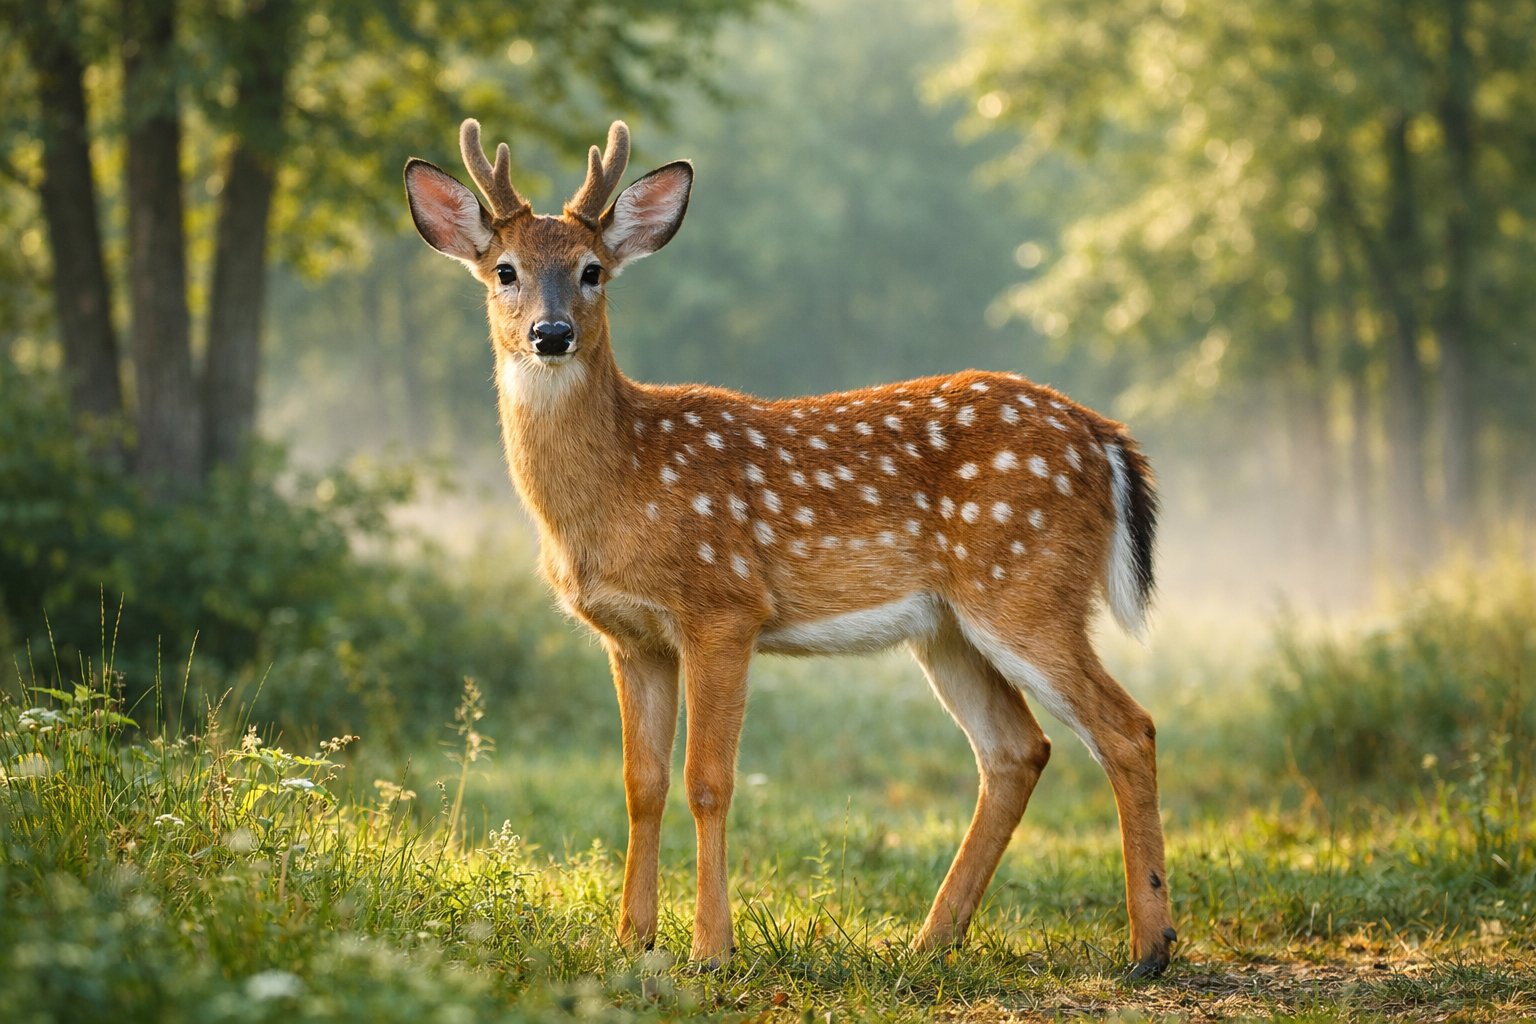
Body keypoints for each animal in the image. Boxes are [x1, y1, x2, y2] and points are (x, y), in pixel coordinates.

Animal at [403, 118, 1177, 978]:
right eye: (504, 270)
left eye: (592, 270)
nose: (551, 334)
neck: (619, 488)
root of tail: (1104, 437)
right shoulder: (631, 636)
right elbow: (642, 782)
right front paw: (632, 939)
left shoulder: (724, 605)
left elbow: (709, 779)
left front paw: (712, 949)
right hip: (949, 628)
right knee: (1017, 750)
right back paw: (929, 941)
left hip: (1025, 587)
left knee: (1127, 727)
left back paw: (1149, 947)